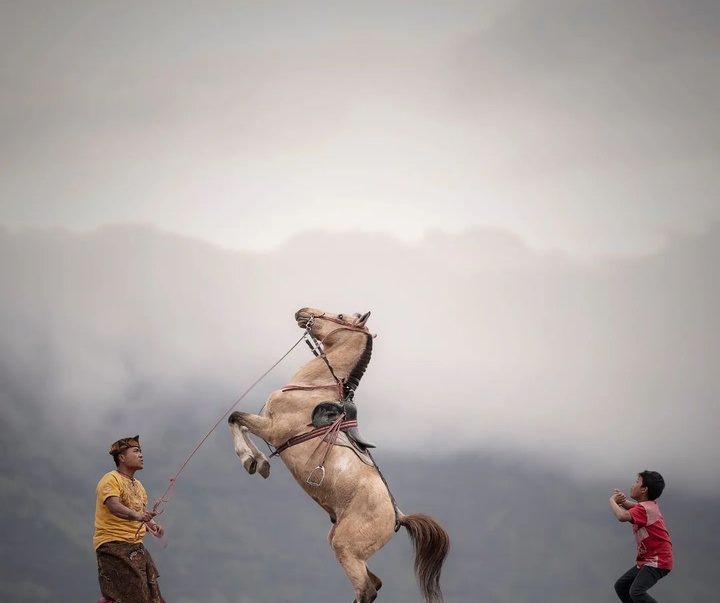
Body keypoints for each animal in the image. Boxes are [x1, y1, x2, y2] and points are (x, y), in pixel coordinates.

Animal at [228, 310, 448, 600]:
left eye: (341, 316)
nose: (304, 312)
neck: (312, 390)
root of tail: (399, 517)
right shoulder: (268, 427)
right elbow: (241, 424)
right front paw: (259, 461)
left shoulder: (273, 429)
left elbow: (236, 418)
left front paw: (250, 460)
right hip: (345, 546)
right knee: (374, 583)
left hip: (347, 547)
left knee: (366, 589)